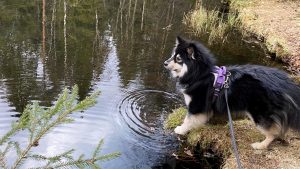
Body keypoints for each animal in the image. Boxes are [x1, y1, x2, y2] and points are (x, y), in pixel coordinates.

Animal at [164, 36, 300, 149]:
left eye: (178, 59)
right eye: (172, 55)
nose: (164, 63)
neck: (200, 74)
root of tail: (284, 82)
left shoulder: (197, 105)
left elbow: (188, 120)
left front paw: (181, 129)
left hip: (259, 114)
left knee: (273, 133)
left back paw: (260, 145)